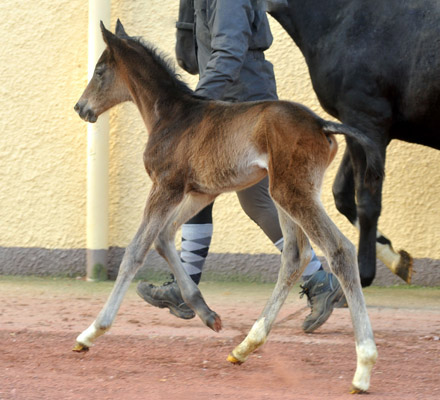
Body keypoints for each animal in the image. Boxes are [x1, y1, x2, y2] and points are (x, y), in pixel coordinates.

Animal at [74, 20, 380, 392]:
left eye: (100, 71)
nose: (81, 107)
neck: (171, 116)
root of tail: (321, 123)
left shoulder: (166, 186)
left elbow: (136, 250)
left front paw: (92, 332)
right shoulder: (200, 192)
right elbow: (163, 237)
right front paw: (206, 314)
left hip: (292, 191)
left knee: (339, 250)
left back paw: (363, 368)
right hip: (284, 192)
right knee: (295, 255)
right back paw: (245, 346)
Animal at [177, 0, 440, 288]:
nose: (183, 58)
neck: (350, 20)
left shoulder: (368, 120)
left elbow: (367, 199)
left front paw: (364, 272)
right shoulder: (359, 128)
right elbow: (342, 195)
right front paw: (395, 258)